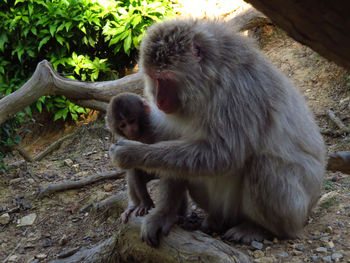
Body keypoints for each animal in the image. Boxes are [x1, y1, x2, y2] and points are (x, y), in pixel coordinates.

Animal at [106, 93, 157, 223]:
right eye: (123, 125)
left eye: (132, 120)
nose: (130, 129)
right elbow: (133, 167)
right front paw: (145, 203)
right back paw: (133, 206)